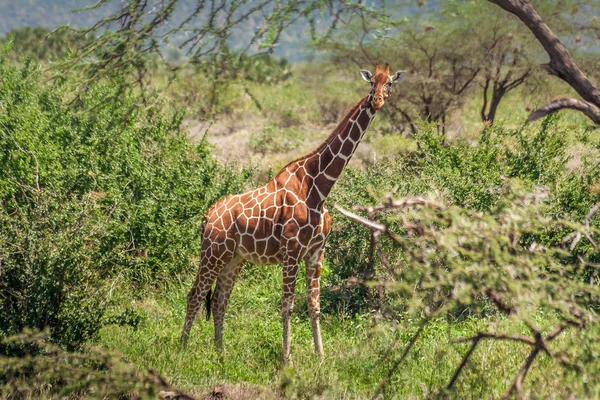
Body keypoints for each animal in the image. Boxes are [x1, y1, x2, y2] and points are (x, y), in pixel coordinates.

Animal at [182, 62, 408, 362]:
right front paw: (286, 359)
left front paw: (320, 357)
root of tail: (207, 216)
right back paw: (181, 350)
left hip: (233, 258)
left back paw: (221, 353)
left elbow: (314, 305)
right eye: (372, 83)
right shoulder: (292, 250)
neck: (318, 188)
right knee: (195, 294)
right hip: (213, 252)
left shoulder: (315, 251)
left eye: (389, 83)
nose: (377, 101)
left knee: (219, 300)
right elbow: (287, 306)